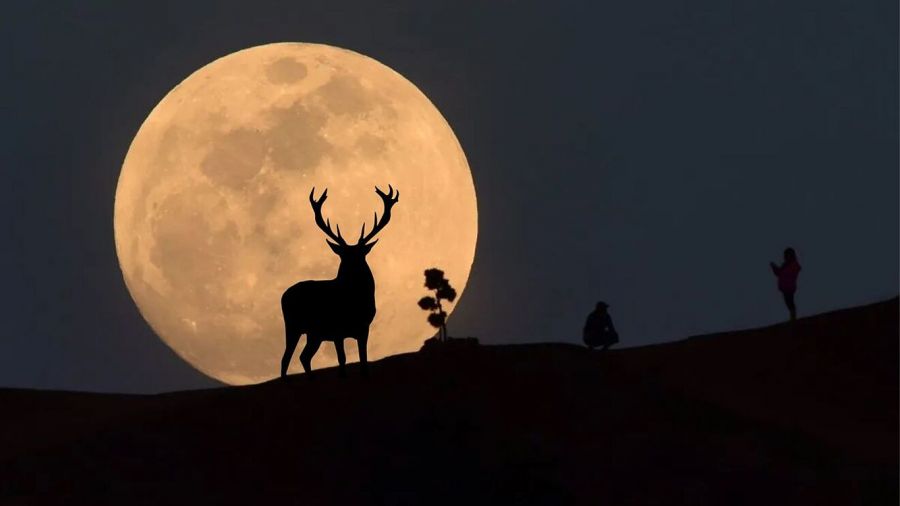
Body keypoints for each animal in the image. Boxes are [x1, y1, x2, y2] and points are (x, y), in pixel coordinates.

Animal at [280, 185, 399, 379]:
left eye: (360, 255)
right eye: (344, 257)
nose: (351, 272)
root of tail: (283, 296)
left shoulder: (364, 328)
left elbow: (364, 359)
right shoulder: (337, 330)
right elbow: (342, 360)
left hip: (315, 334)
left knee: (304, 356)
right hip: (293, 326)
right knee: (286, 358)